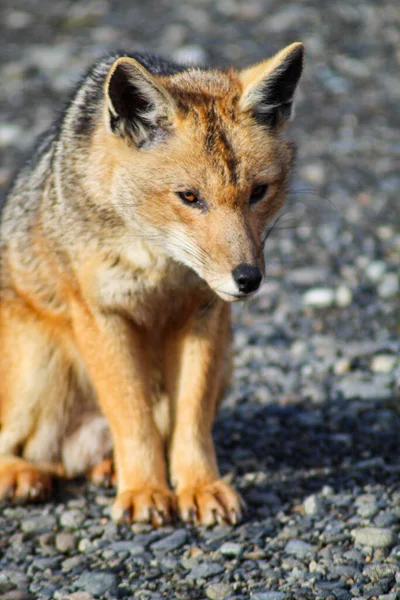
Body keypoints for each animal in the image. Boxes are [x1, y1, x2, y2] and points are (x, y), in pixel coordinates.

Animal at [0, 42, 304, 524]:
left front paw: (198, 485)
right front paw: (145, 489)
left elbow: (191, 422)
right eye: (189, 197)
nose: (247, 279)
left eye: (258, 192)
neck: (162, 269)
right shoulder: (102, 315)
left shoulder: (204, 316)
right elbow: (132, 416)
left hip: (227, 356)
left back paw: (107, 468)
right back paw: (21, 473)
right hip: (36, 369)